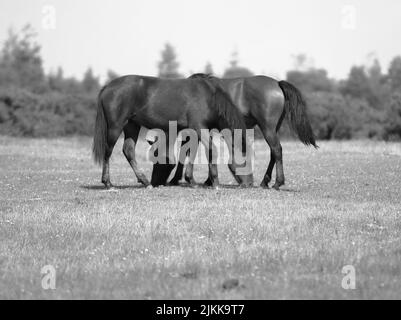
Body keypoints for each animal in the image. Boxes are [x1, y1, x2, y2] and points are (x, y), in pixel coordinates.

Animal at [92, 74, 252, 189]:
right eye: (245, 160)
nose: (250, 183)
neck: (209, 98)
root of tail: (107, 87)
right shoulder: (199, 128)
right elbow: (212, 150)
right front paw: (215, 183)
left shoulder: (193, 132)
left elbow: (191, 153)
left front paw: (192, 181)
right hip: (115, 127)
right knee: (108, 151)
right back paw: (108, 183)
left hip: (132, 126)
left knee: (128, 150)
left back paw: (145, 182)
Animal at [155, 74, 318, 190]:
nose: (248, 183)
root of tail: (277, 83)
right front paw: (208, 180)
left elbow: (187, 152)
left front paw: (176, 180)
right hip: (273, 129)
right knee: (274, 152)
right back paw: (265, 182)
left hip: (267, 128)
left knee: (277, 150)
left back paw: (277, 183)